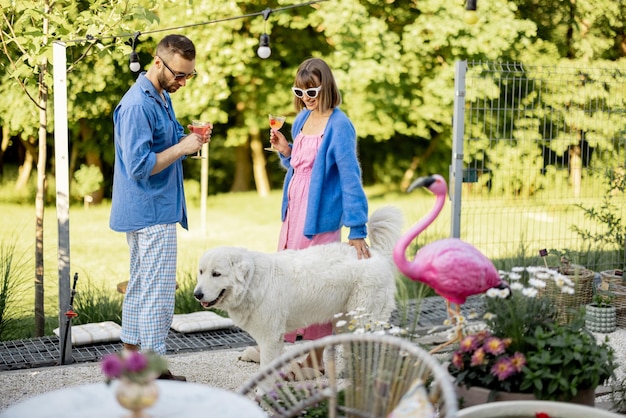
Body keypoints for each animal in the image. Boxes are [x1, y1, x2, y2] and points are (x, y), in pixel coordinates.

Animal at [193, 206, 402, 370]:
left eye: (216, 274)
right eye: (201, 272)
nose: (197, 294)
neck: (252, 282)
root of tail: (376, 253)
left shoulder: (270, 338)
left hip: (364, 318)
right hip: (346, 319)